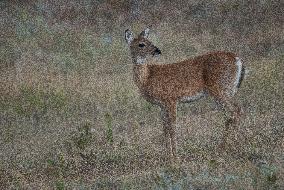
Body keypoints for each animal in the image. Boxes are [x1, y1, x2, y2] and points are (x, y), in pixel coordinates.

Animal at [125, 28, 245, 158]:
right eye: (141, 44)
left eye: (149, 41)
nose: (158, 50)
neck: (148, 77)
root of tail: (238, 59)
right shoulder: (162, 105)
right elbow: (165, 128)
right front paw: (168, 156)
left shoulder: (171, 99)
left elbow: (172, 127)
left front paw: (176, 156)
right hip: (228, 90)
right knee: (231, 114)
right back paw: (227, 146)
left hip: (220, 89)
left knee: (236, 110)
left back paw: (232, 146)